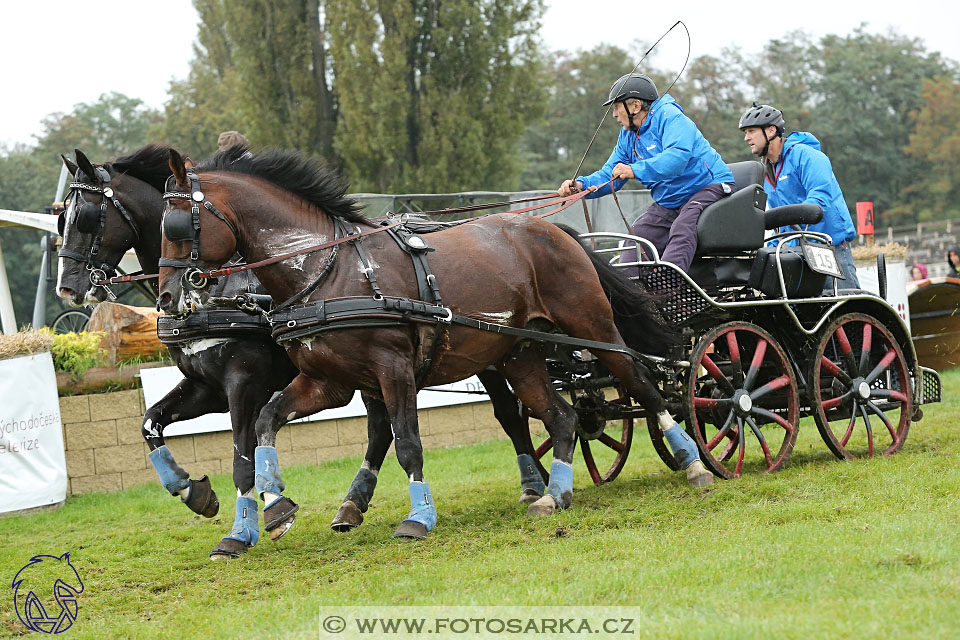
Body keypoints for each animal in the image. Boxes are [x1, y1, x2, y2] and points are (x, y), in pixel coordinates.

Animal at [52, 145, 548, 556]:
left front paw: (244, 529)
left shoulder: (243, 384)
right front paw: (194, 492)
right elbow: (150, 423)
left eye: (86, 218)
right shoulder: (206, 387)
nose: (67, 288)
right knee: (381, 429)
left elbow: (242, 457)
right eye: (61, 220)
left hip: (481, 353)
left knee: (506, 412)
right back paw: (352, 505)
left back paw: (533, 484)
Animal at [159, 146, 712, 540]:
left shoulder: (393, 370)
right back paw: (553, 494)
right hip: (520, 353)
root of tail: (553, 229)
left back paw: (693, 462)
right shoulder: (327, 382)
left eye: (177, 224)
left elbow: (407, 442)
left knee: (642, 383)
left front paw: (419, 516)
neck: (326, 269)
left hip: (593, 328)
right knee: (563, 415)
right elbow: (266, 424)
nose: (167, 296)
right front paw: (275, 507)